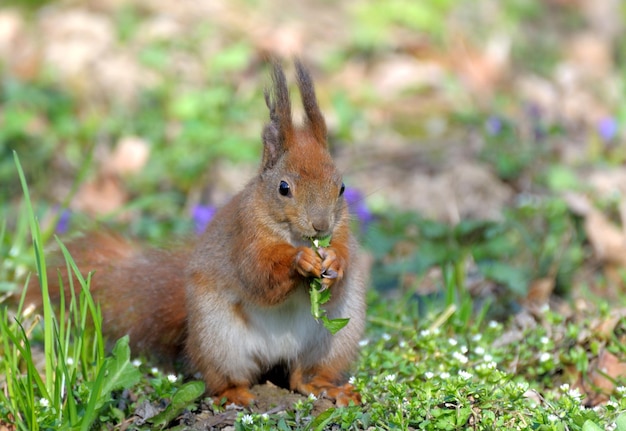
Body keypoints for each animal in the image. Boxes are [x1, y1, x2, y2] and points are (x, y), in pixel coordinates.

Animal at [25, 61, 366, 408]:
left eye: (341, 187)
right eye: (284, 188)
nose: (321, 226)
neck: (293, 235)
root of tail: (277, 355)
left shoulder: (343, 233)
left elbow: (344, 261)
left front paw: (333, 262)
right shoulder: (244, 237)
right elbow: (258, 276)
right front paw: (302, 260)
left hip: (336, 335)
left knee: (304, 376)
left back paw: (329, 387)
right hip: (218, 338)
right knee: (225, 377)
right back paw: (234, 393)